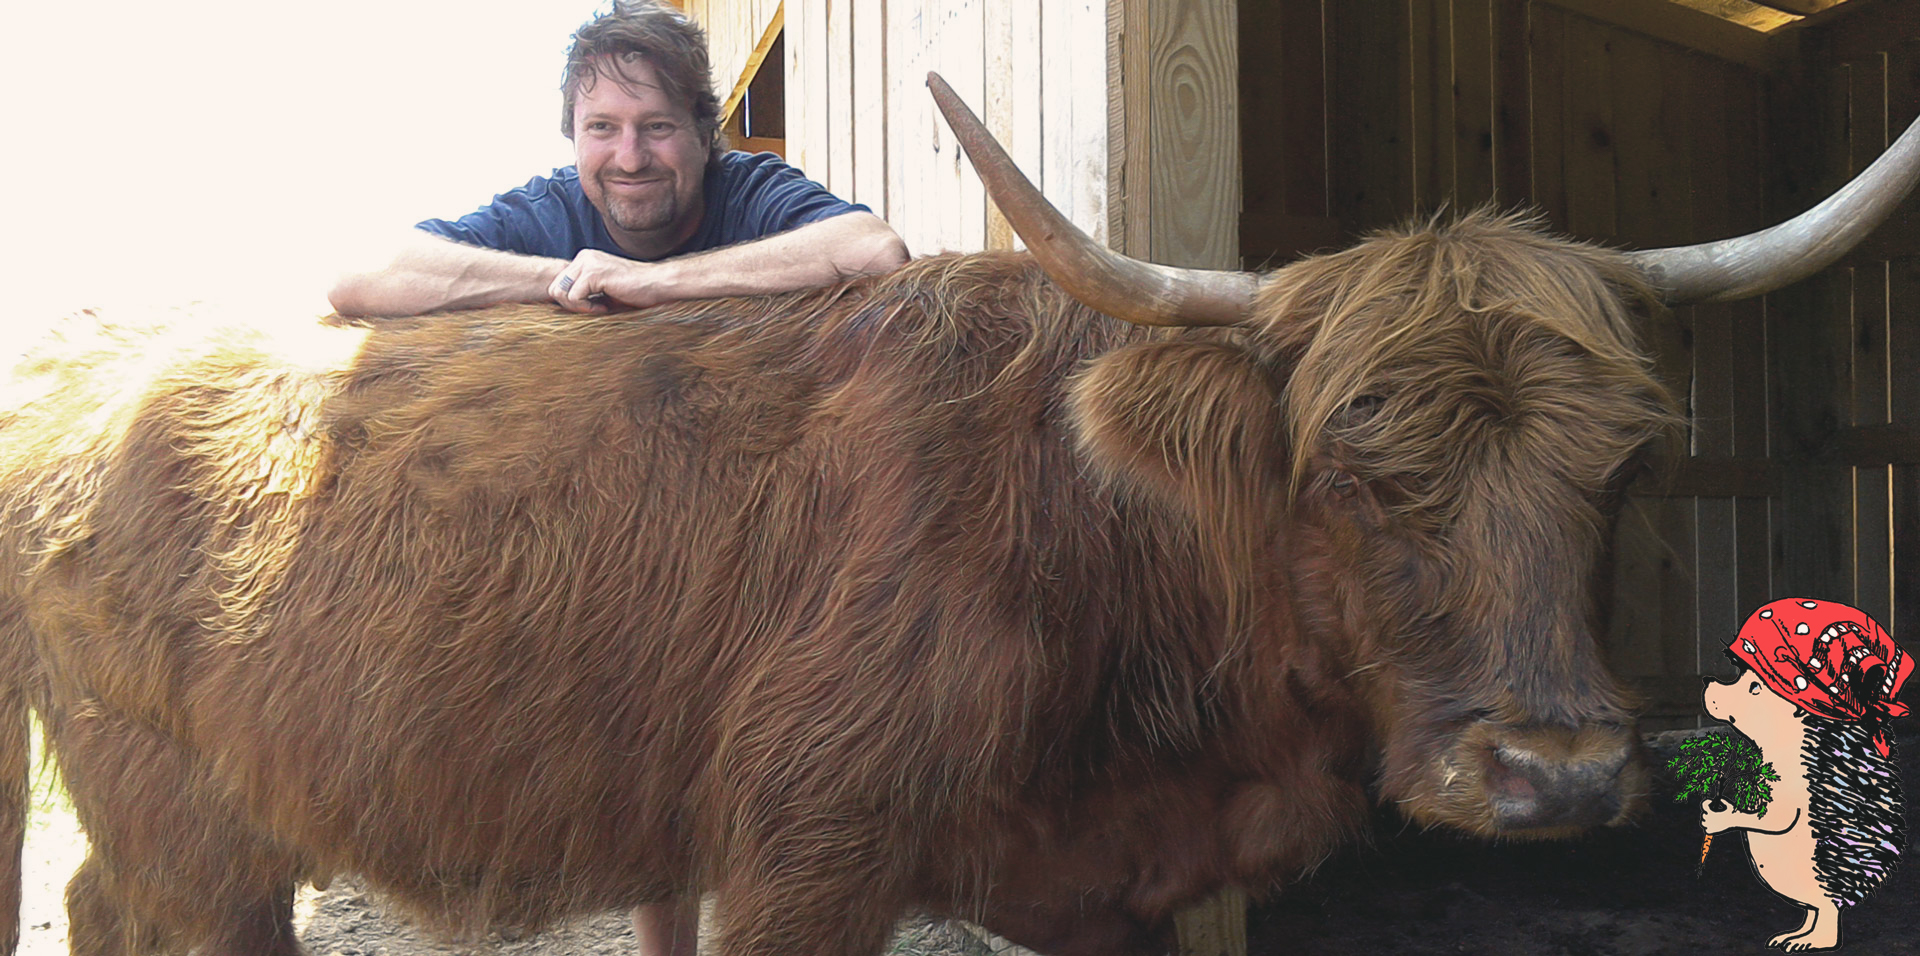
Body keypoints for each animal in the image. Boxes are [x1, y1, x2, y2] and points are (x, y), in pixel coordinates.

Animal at [3, 74, 1917, 956]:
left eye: (1622, 463)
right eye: (1352, 468)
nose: (1560, 777)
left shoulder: (1110, 888)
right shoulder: (806, 852)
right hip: (196, 818)